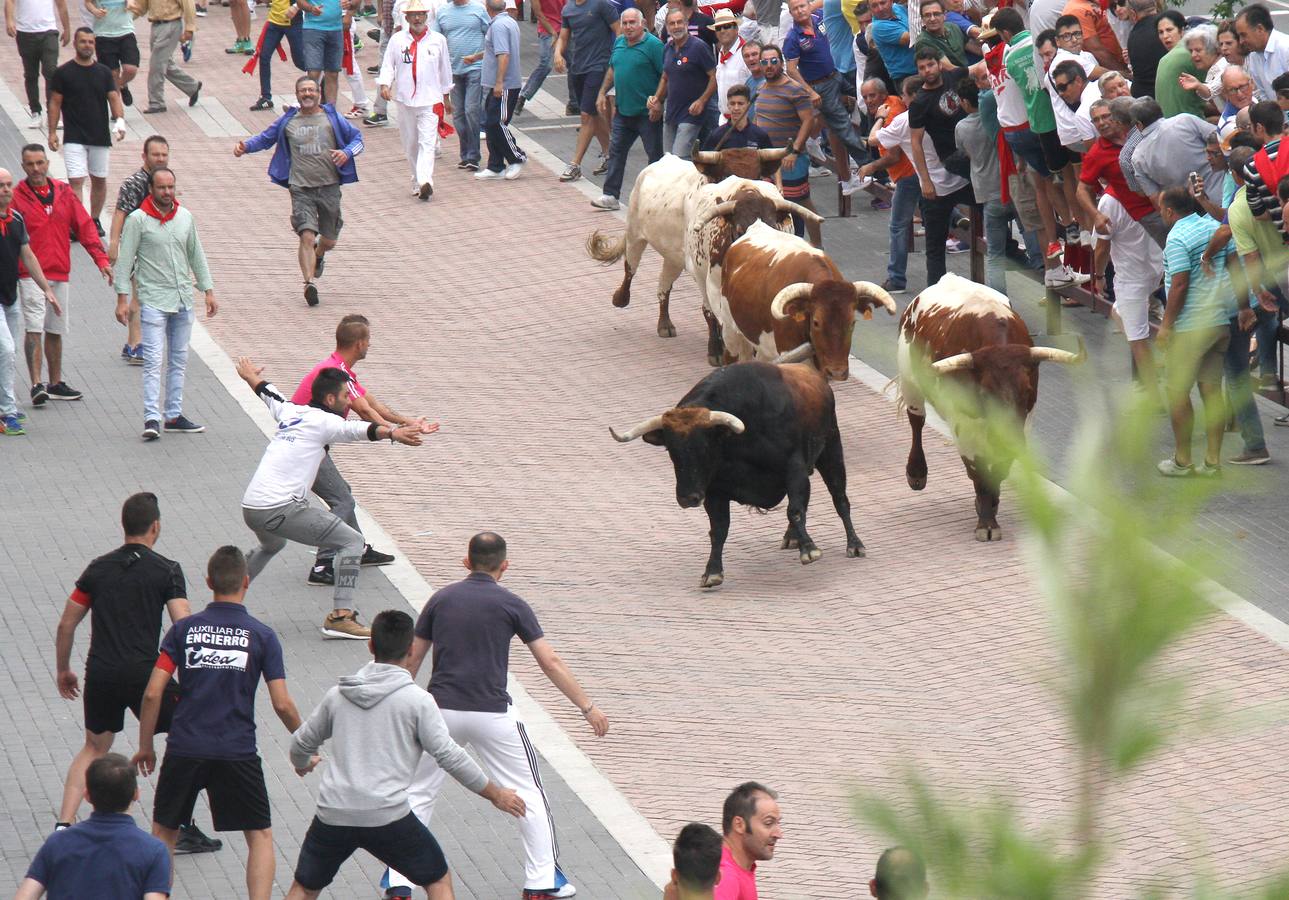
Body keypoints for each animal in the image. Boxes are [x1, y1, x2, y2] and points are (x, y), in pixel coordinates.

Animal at [585, 150, 814, 342]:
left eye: (758, 174)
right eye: (726, 173)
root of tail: (662, 159)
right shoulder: (702, 272)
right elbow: (710, 311)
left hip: (673, 257)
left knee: (664, 285)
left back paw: (664, 324)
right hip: (635, 234)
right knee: (630, 268)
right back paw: (621, 298)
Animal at [608, 361, 861, 585]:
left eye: (705, 447)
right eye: (671, 449)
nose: (687, 498)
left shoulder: (794, 470)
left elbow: (795, 511)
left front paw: (809, 550)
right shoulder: (714, 492)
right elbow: (719, 530)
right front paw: (712, 572)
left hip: (831, 451)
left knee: (840, 500)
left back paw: (854, 544)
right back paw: (792, 538)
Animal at [897, 273, 1077, 538]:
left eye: (1027, 391)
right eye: (985, 393)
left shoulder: (1024, 421)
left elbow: (1000, 468)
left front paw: (991, 509)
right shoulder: (963, 426)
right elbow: (977, 470)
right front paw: (986, 522)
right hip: (910, 382)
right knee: (916, 422)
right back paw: (916, 473)